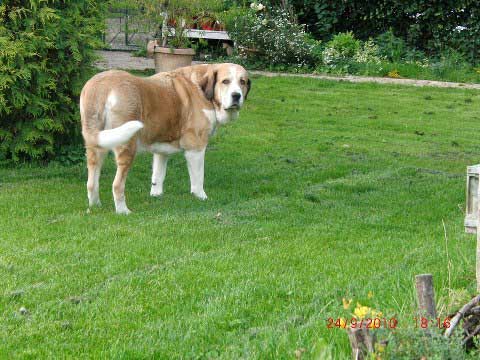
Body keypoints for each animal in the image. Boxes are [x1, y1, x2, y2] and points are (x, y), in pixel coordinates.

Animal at [80, 64, 249, 214]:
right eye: (225, 81)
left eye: (242, 82)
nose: (236, 96)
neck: (202, 90)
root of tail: (101, 86)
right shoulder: (195, 148)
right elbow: (198, 178)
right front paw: (201, 197)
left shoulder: (161, 151)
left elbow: (158, 175)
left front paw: (156, 195)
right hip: (127, 146)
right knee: (117, 185)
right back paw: (123, 211)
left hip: (97, 145)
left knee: (91, 183)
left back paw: (95, 206)